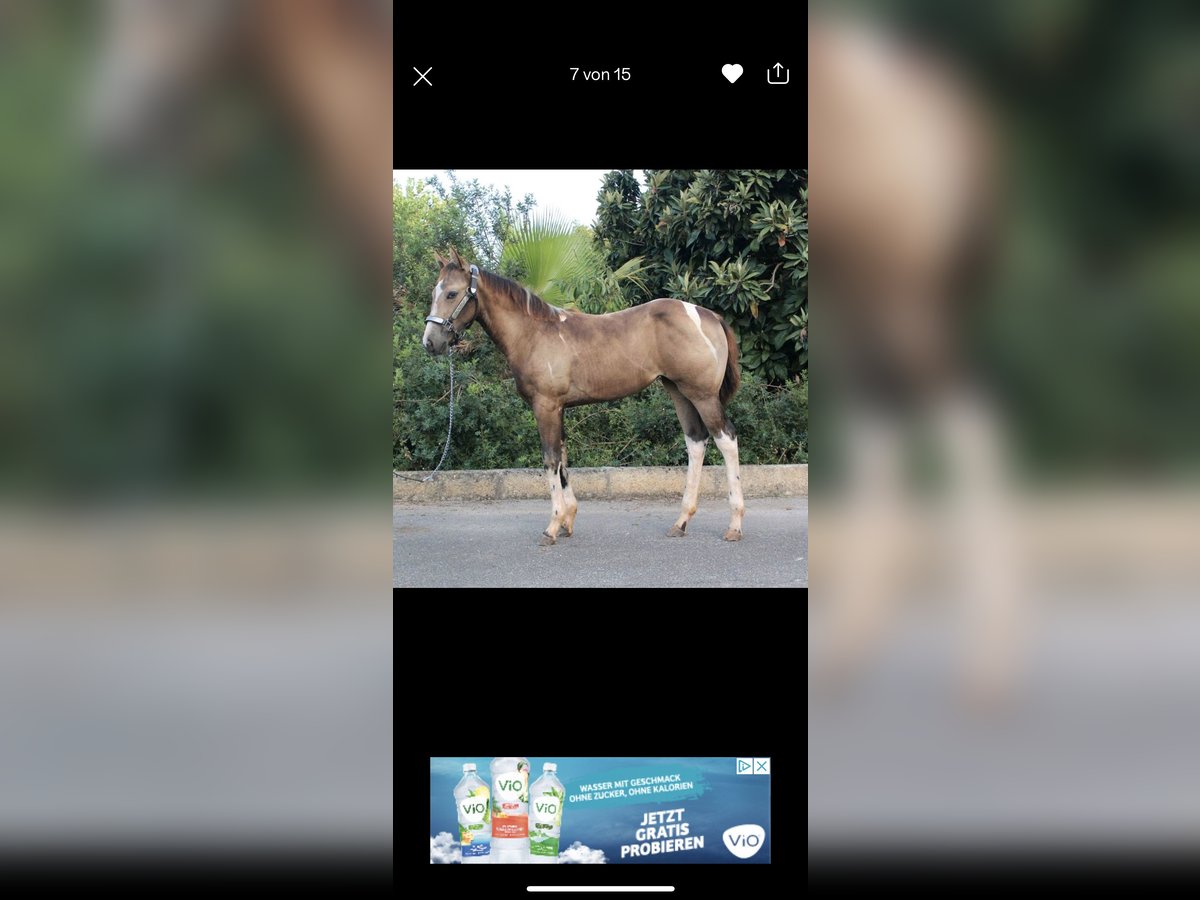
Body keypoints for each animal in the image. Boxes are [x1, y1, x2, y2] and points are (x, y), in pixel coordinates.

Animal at [421, 248, 745, 546]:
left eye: (452, 293)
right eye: (434, 291)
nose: (430, 342)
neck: (534, 333)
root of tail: (709, 315)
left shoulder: (546, 406)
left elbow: (550, 459)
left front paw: (552, 527)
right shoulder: (559, 408)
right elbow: (563, 460)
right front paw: (567, 522)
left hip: (702, 395)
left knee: (726, 439)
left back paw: (734, 525)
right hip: (679, 391)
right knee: (696, 442)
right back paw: (681, 522)